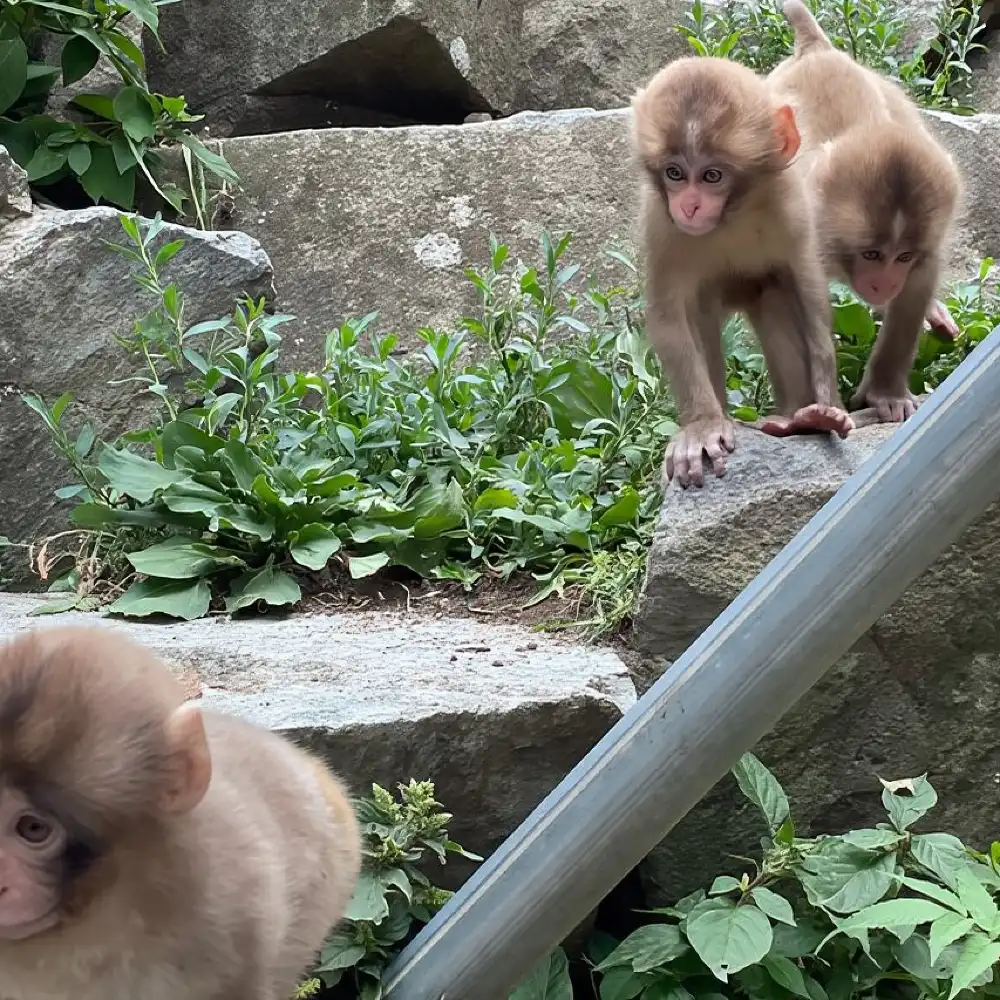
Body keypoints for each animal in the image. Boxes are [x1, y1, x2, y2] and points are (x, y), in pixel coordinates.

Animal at [632, 56, 854, 488]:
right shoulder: (661, 225)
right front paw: (701, 426)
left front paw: (827, 405)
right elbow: (669, 315)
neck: (732, 216)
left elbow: (807, 287)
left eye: (712, 176)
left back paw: (798, 418)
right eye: (674, 173)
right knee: (701, 312)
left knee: (775, 295)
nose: (689, 207)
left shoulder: (789, 202)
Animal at [767, 0, 963, 423]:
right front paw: (821, 409)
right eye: (871, 254)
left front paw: (886, 392)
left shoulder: (925, 249)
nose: (884, 285)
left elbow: (914, 295)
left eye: (903, 256)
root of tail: (816, 50)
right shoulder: (802, 235)